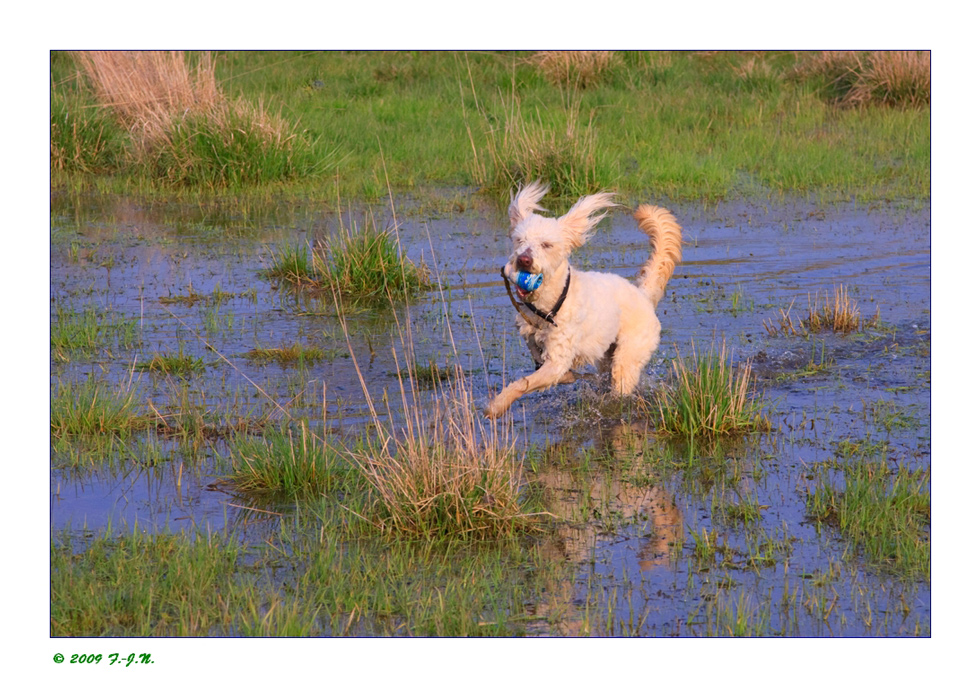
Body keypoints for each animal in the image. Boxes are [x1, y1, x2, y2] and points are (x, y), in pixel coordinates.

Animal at [488, 181, 684, 420]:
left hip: (628, 357)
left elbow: (523, 384)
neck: (549, 306)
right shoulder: (533, 340)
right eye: (519, 240)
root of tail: (642, 294)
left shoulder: (557, 360)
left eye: (546, 244)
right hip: (607, 355)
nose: (524, 260)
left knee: (621, 383)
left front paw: (497, 405)